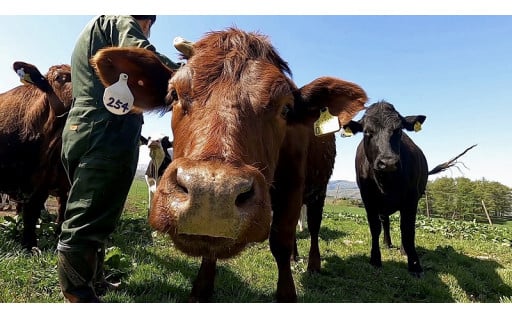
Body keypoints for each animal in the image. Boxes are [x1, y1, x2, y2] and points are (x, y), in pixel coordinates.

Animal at [89, 26, 368, 300]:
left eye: (286, 109)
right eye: (174, 94)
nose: (212, 194)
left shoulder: (292, 187)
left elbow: (280, 241)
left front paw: (287, 292)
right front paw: (201, 290)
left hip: (318, 190)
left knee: (313, 226)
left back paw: (312, 264)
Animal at [344, 101, 476, 276]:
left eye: (399, 130)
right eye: (367, 132)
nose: (388, 162)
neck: (386, 182)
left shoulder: (411, 199)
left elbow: (408, 229)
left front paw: (414, 265)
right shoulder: (368, 198)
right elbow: (375, 227)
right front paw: (375, 259)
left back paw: (403, 250)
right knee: (385, 221)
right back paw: (387, 243)